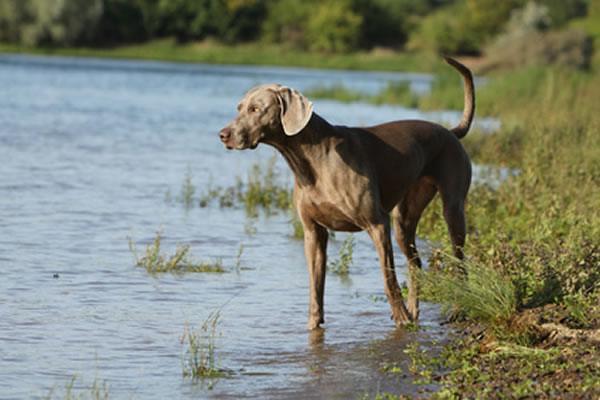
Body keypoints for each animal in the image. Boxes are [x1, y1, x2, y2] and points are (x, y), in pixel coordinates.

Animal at [218, 57, 476, 330]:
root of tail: (451, 131)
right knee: (415, 262)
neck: (311, 159)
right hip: (403, 220)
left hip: (452, 209)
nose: (223, 135)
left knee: (460, 262)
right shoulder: (313, 231)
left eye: (256, 109)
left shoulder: (377, 224)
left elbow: (389, 279)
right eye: (239, 108)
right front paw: (313, 326)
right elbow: (315, 287)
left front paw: (401, 317)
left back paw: (454, 310)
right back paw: (415, 312)